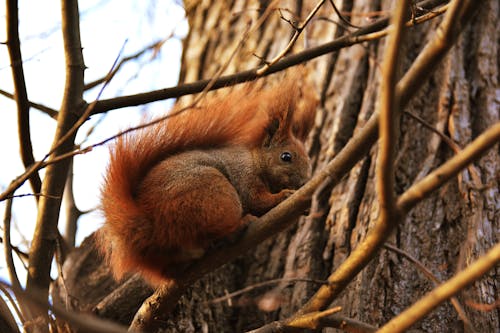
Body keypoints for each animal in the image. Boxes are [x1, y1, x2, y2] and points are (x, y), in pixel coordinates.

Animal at [97, 76, 316, 286]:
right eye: (286, 157)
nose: (304, 182)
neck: (255, 160)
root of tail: (151, 225)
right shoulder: (245, 175)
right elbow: (257, 200)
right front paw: (284, 196)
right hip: (212, 194)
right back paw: (238, 226)